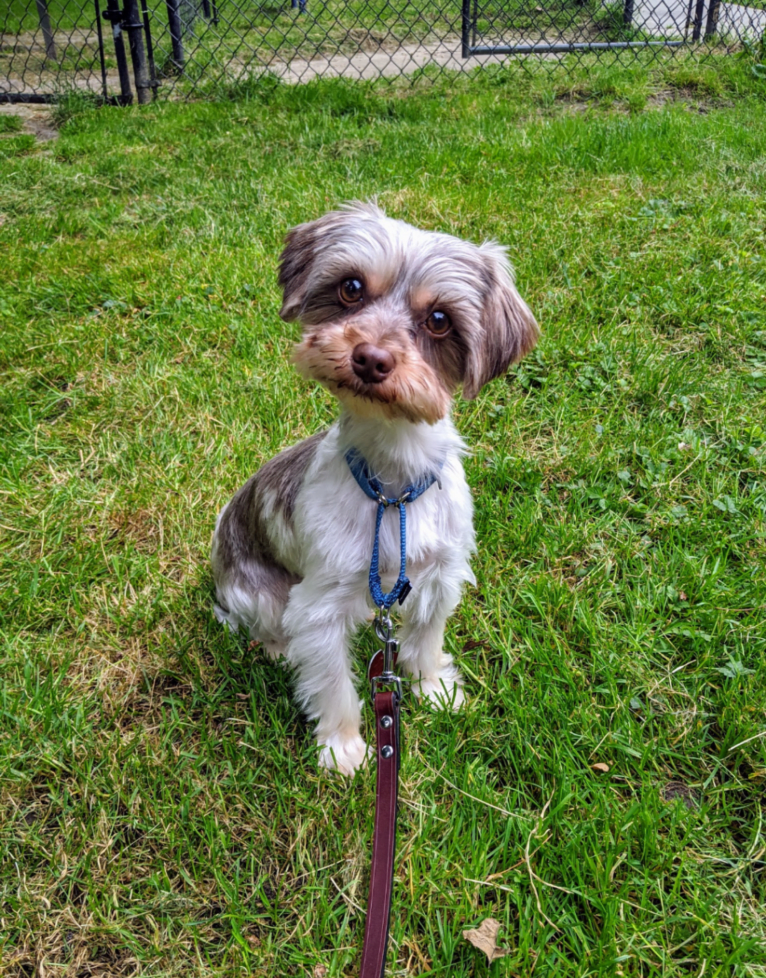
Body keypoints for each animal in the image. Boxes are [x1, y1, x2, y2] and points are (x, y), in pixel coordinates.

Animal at [210, 202, 540, 772]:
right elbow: (333, 685)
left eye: (439, 320)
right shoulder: (320, 607)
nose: (370, 357)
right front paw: (343, 748)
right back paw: (277, 648)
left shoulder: (441, 573)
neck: (392, 489)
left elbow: (425, 641)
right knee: (266, 626)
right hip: (259, 595)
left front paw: (433, 689)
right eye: (351, 288)